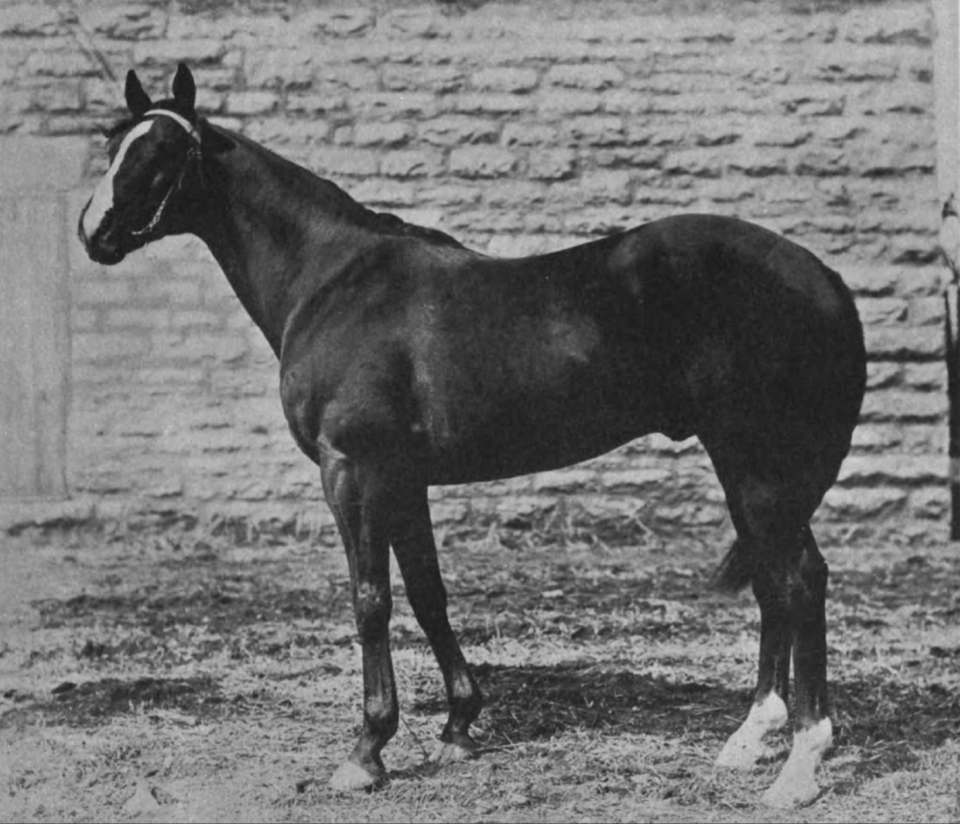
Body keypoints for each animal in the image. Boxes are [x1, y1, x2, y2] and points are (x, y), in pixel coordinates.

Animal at [78, 64, 866, 808]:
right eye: (114, 142)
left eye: (162, 151)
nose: (94, 233)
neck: (332, 280)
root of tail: (823, 275)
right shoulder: (403, 478)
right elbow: (429, 592)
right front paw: (459, 725)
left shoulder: (353, 470)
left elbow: (372, 599)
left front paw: (367, 750)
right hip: (742, 465)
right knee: (773, 581)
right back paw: (751, 737)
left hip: (760, 467)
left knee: (800, 579)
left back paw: (800, 764)